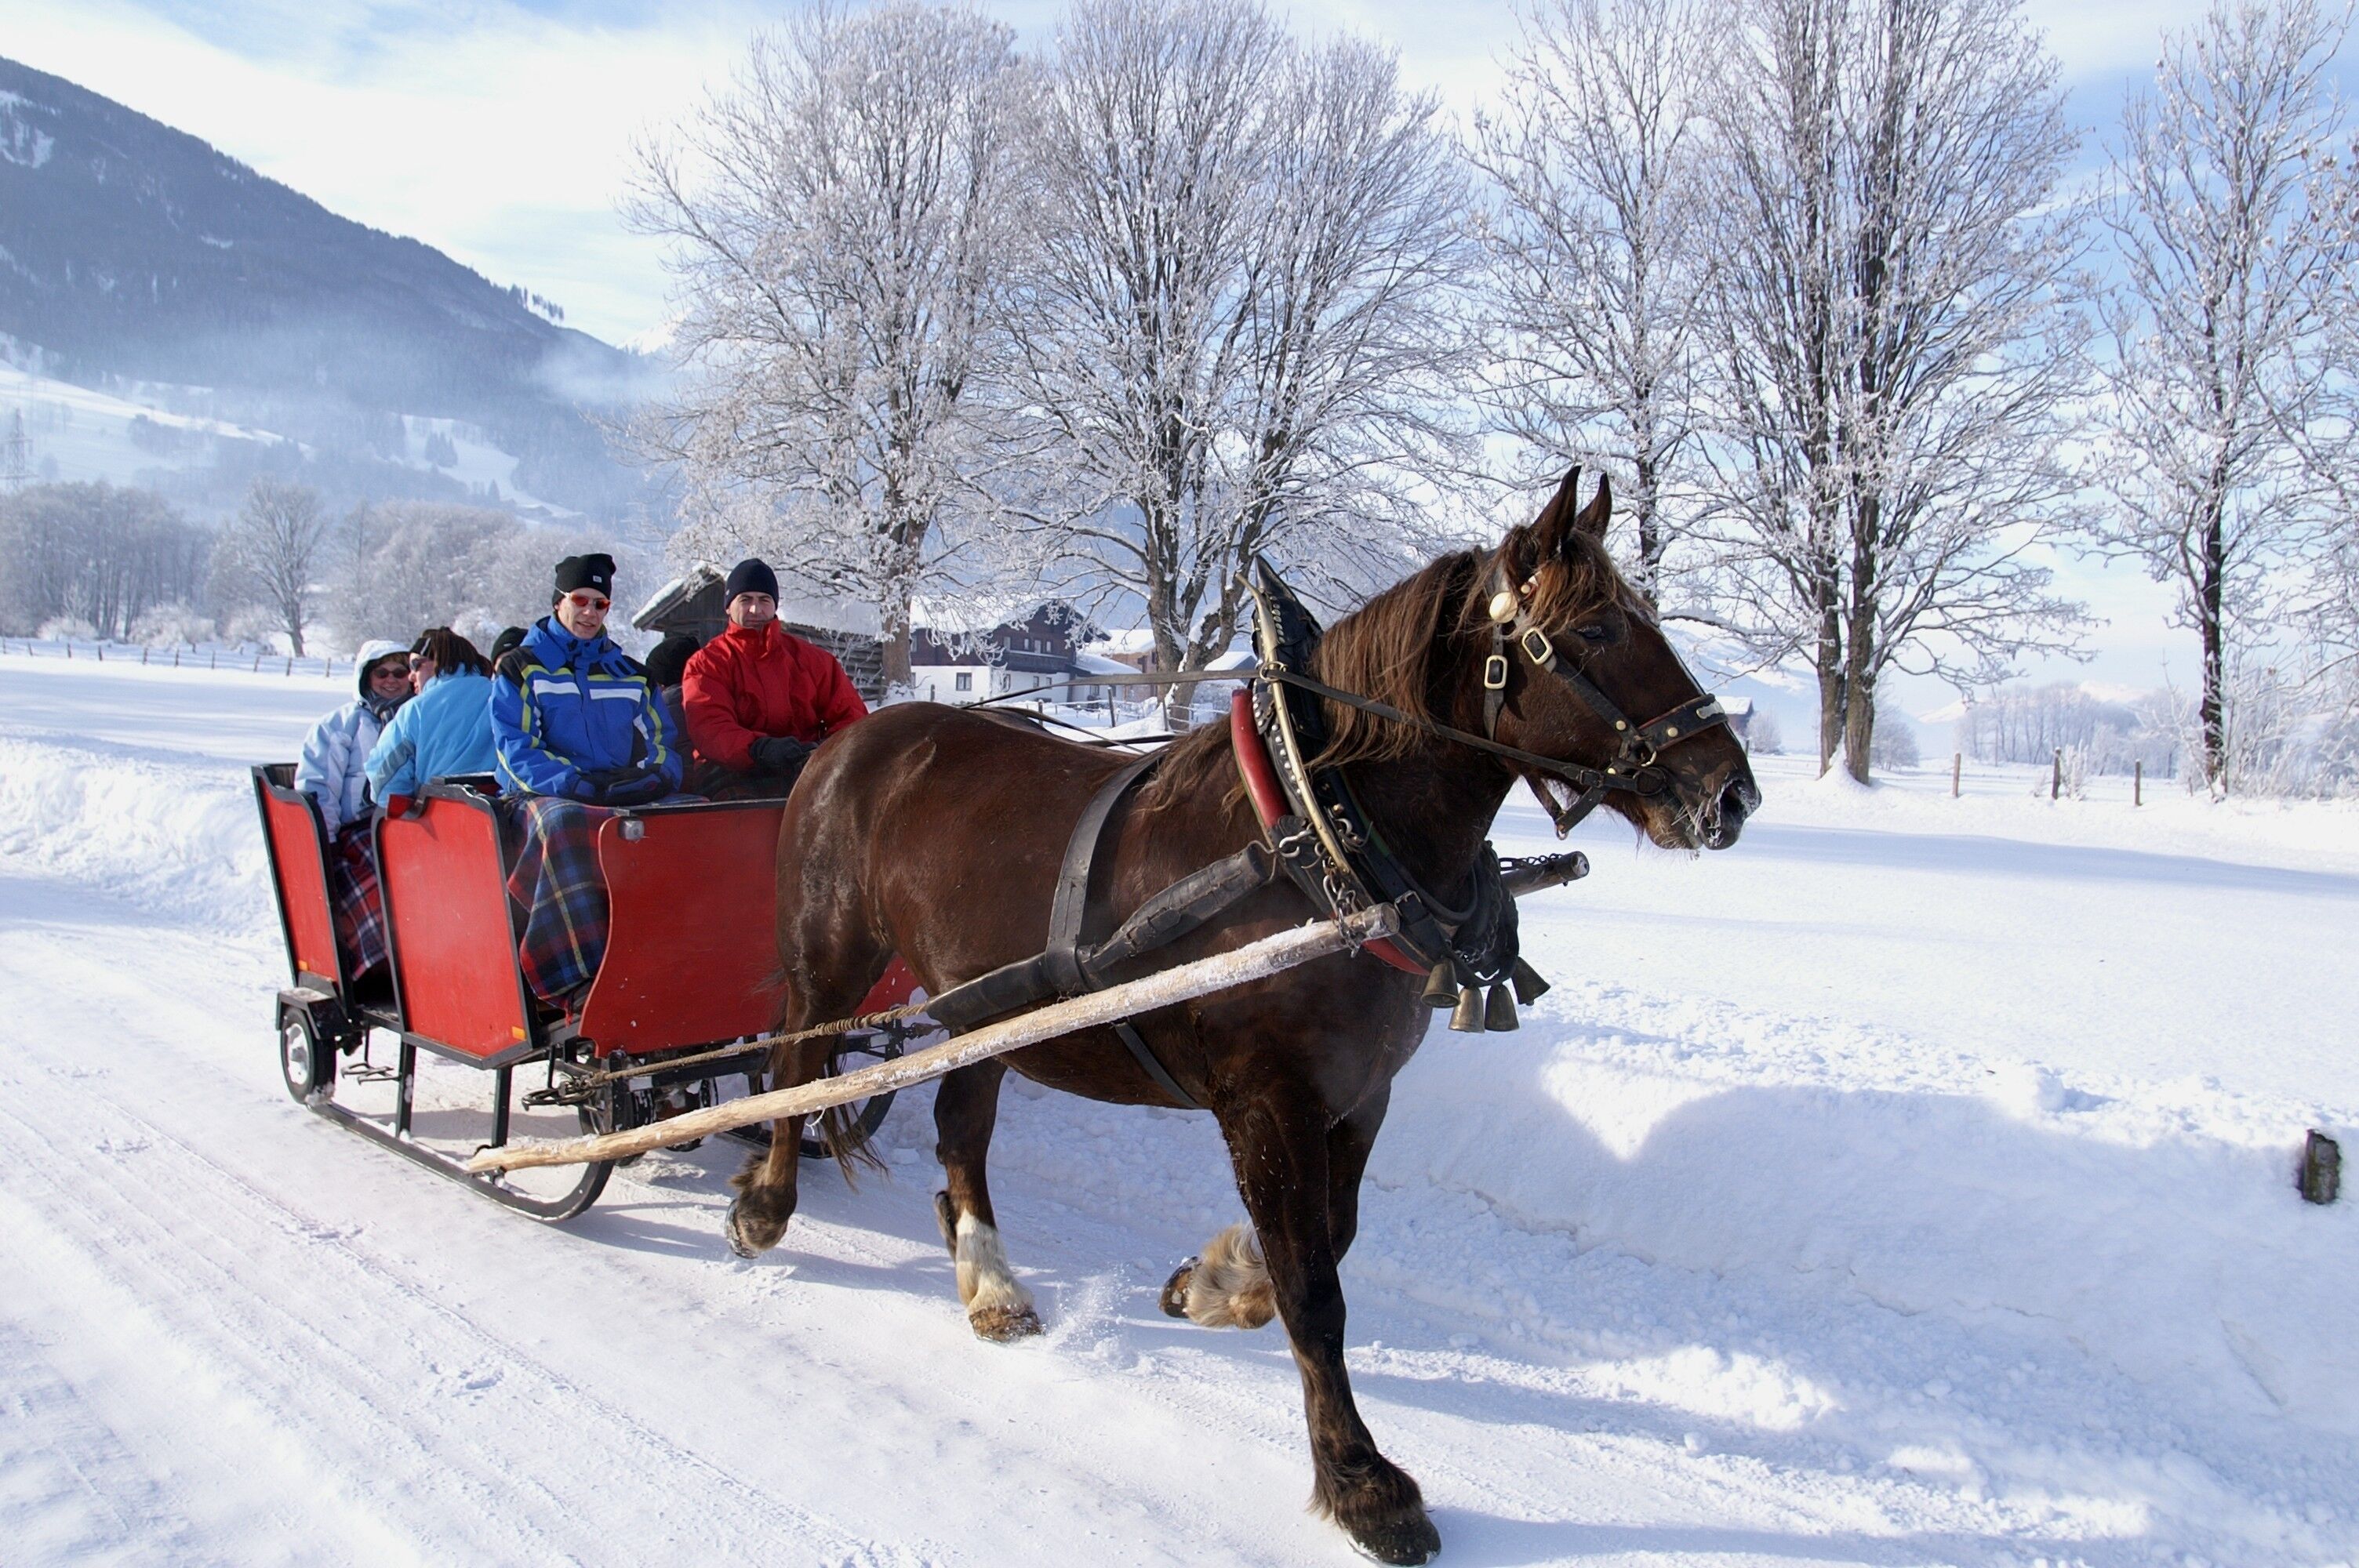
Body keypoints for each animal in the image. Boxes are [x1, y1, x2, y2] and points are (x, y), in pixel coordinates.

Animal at [727, 470, 1758, 1564]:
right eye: (1595, 629)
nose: (1730, 791)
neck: (1319, 837)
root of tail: (853, 736)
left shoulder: (1358, 1093)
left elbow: (1327, 1240)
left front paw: (1212, 1282)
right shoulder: (1263, 1101)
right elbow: (1315, 1287)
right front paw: (1359, 1480)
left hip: (991, 1001)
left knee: (960, 1126)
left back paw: (990, 1281)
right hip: (829, 959)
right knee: (795, 1070)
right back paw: (767, 1202)